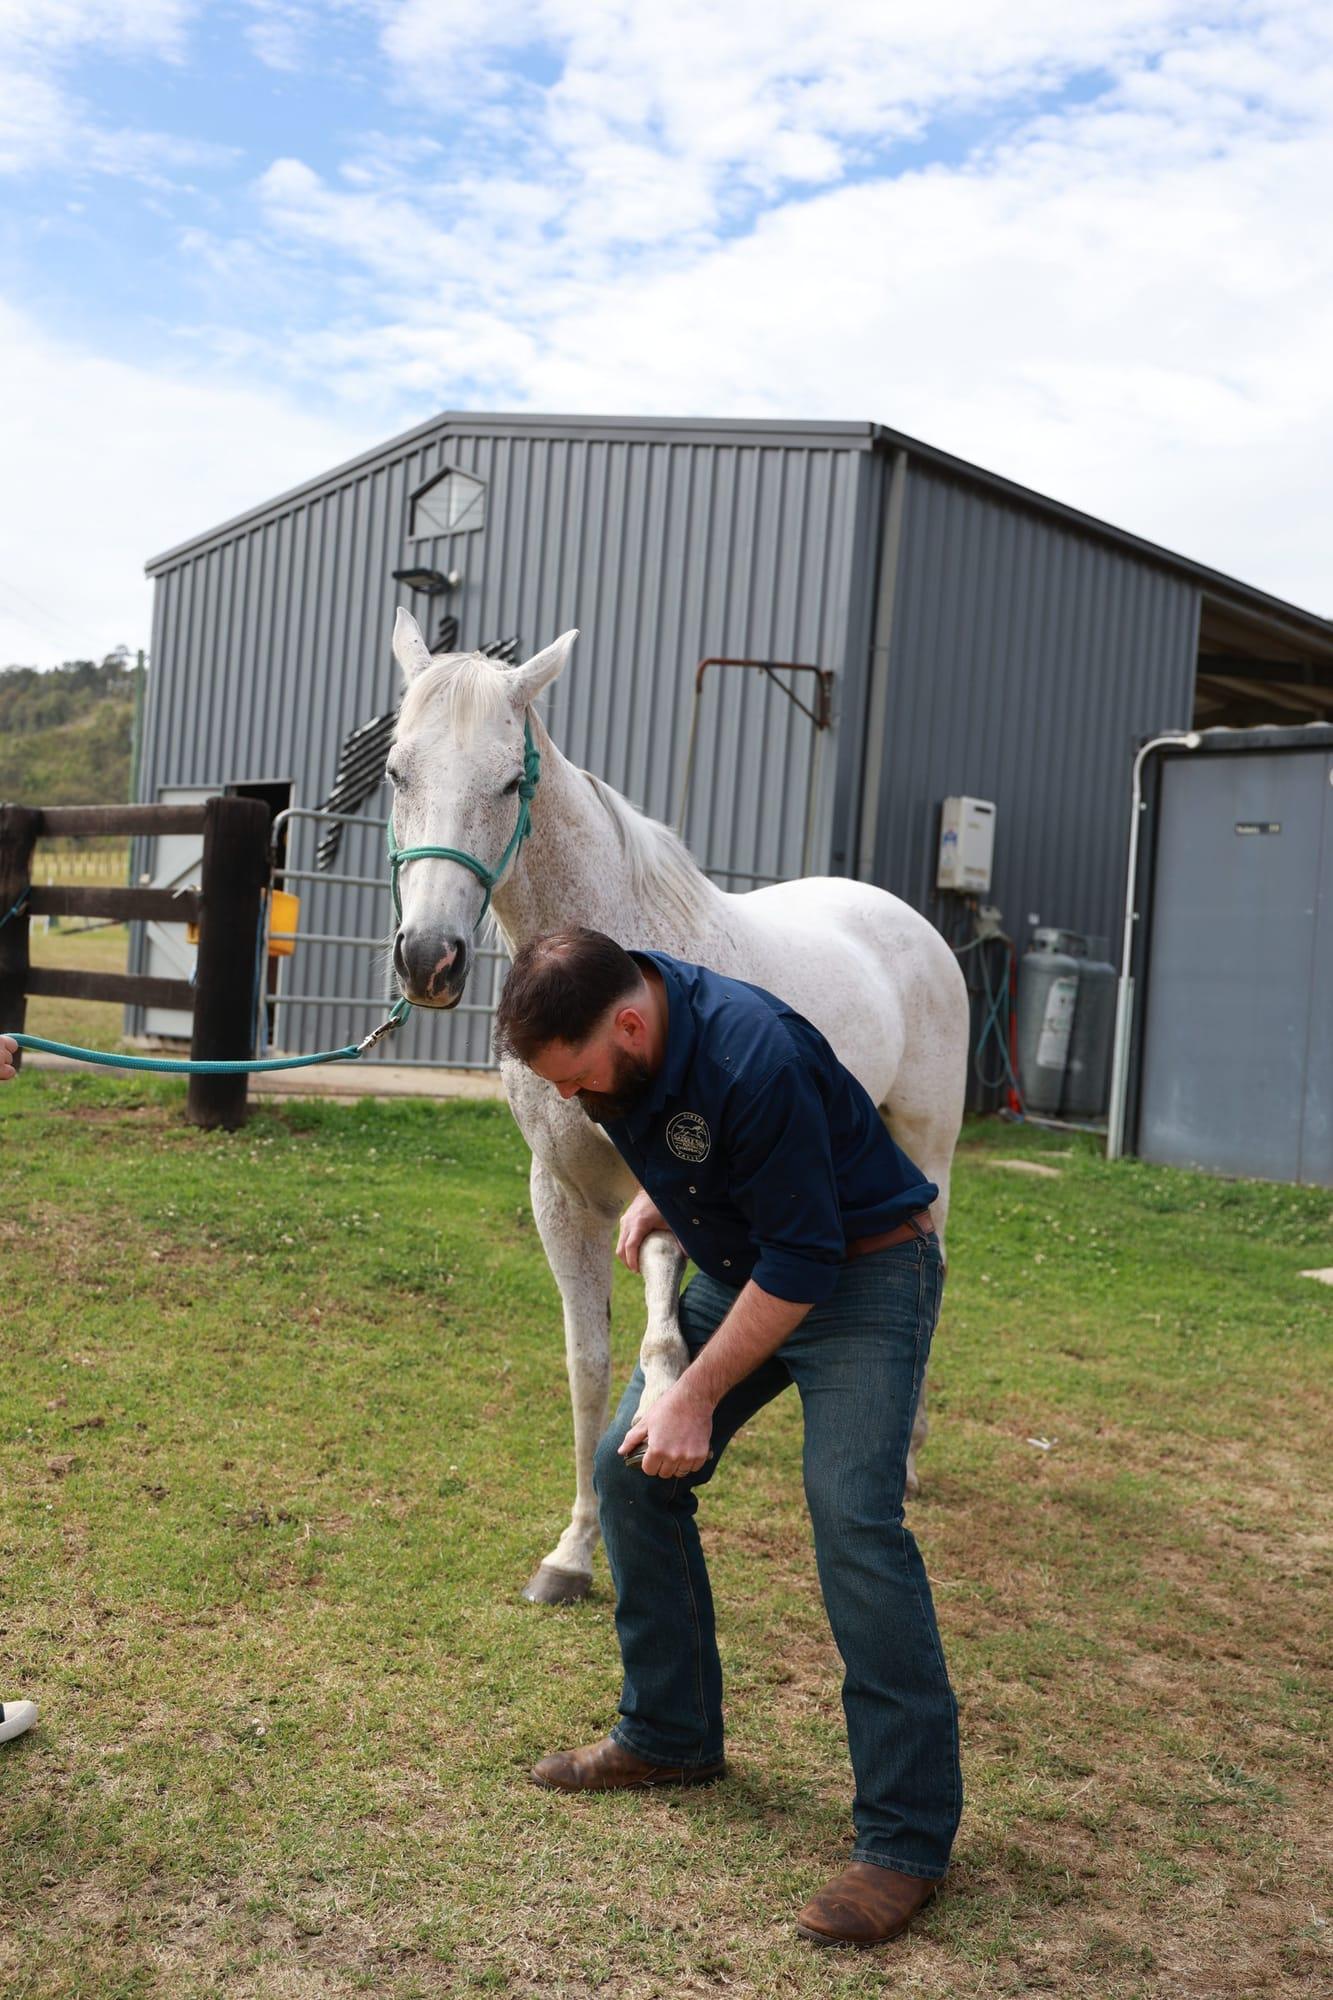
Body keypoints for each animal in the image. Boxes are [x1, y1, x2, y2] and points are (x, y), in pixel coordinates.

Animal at [385, 610, 969, 1604]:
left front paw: (661, 1424)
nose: (429, 959)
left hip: (926, 1149)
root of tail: (902, 917)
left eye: (508, 782)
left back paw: (905, 1459)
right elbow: (587, 1366)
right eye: (395, 771)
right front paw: (573, 1551)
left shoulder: (660, 1186)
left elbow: (659, 1346)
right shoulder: (562, 1196)